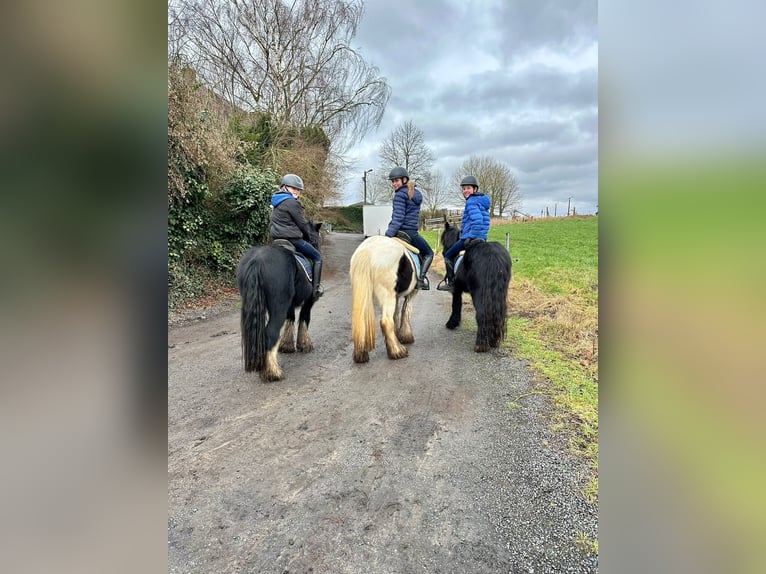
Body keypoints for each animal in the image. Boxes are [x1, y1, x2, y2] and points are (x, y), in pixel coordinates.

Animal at [240, 224, 324, 382]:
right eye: (317, 237)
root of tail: (257, 261)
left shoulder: (289, 305)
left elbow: (290, 319)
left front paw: (287, 346)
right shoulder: (309, 301)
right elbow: (304, 318)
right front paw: (304, 344)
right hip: (278, 307)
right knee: (271, 333)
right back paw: (273, 372)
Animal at [440, 223, 512, 354]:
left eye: (444, 238)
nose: (443, 252)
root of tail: (493, 255)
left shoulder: (456, 291)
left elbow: (456, 305)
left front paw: (452, 323)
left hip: (479, 293)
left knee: (482, 314)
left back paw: (481, 345)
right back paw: (493, 341)